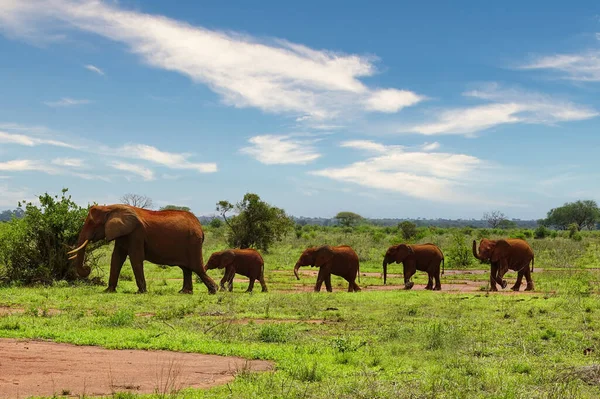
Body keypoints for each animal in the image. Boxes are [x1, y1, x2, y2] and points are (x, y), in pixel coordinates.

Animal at [68, 206, 218, 294]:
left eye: (92, 223)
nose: (87, 268)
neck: (110, 208)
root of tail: (200, 228)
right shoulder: (123, 233)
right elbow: (116, 258)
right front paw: (108, 291)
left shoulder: (136, 233)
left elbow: (135, 258)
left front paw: (140, 292)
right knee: (186, 268)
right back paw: (184, 292)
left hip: (193, 242)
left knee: (197, 268)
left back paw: (213, 290)